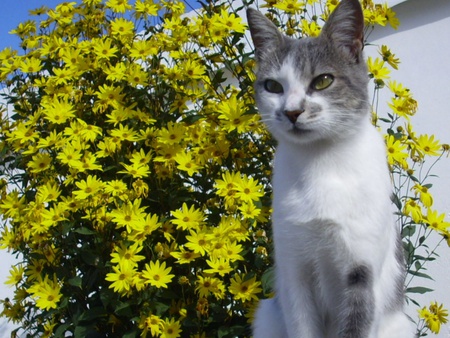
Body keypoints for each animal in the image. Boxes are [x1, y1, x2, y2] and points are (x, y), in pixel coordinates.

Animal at [246, 0, 414, 336]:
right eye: (272, 86)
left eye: (323, 81)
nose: (292, 111)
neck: (321, 164)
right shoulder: (294, 271)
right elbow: (301, 325)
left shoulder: (362, 273)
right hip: (267, 315)